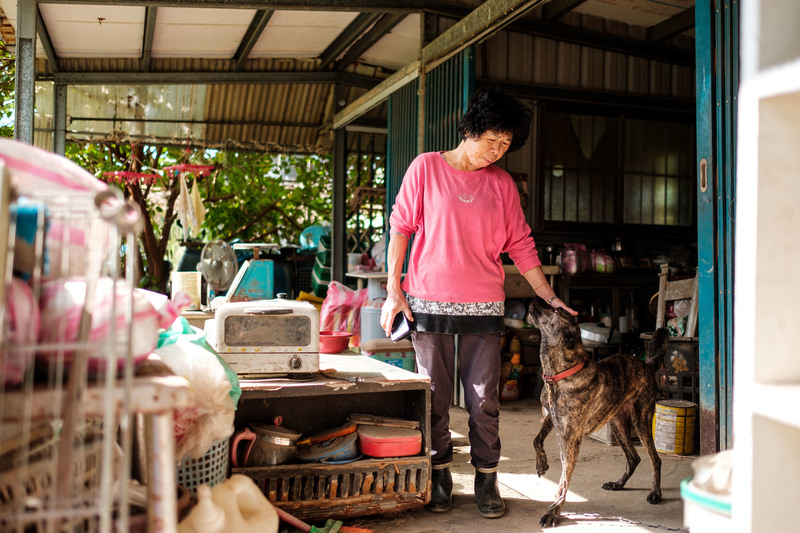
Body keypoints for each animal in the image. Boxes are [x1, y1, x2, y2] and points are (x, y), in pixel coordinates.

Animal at [528, 298, 672, 524]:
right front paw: (541, 464)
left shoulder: (571, 442)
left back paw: (655, 493)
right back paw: (618, 484)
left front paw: (554, 510)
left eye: (556, 310)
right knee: (634, 458)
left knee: (654, 459)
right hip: (617, 423)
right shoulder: (551, 417)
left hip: (640, 419)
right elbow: (536, 440)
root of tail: (647, 365)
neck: (561, 375)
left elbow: (563, 482)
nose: (535, 298)